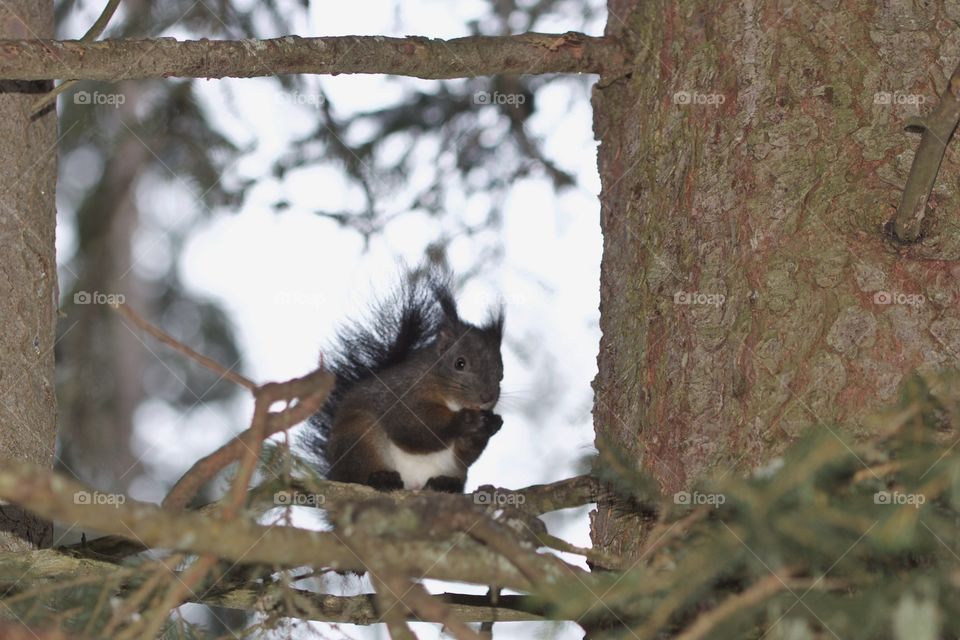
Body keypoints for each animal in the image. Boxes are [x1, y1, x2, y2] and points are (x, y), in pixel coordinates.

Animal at [308, 268, 506, 492]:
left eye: (501, 373)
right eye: (460, 363)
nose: (487, 397)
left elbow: (466, 454)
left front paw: (490, 425)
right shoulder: (401, 394)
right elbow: (412, 428)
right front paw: (465, 420)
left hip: (453, 470)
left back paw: (444, 484)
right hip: (358, 437)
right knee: (357, 474)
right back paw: (381, 478)